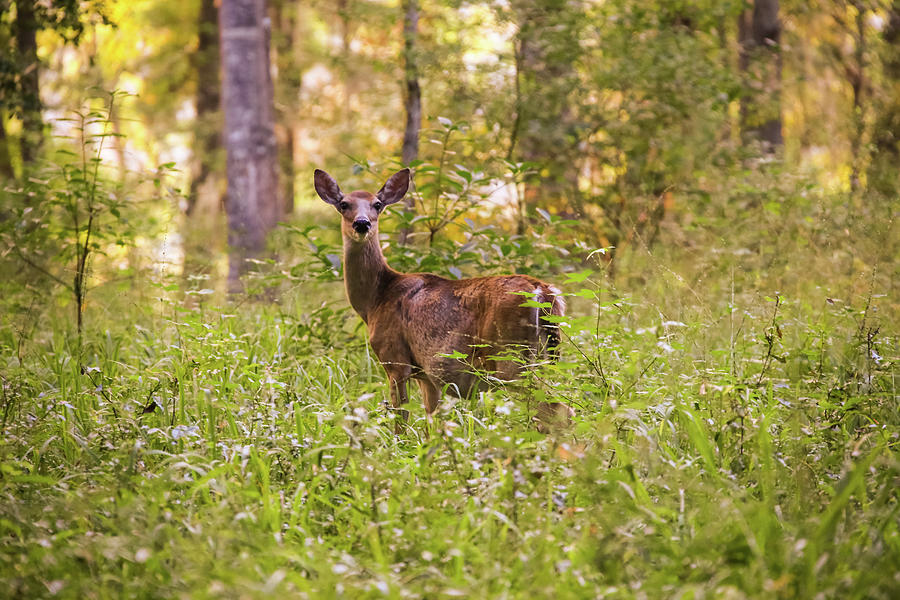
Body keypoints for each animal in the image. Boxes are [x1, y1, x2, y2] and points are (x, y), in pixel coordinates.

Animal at [314, 168, 573, 430]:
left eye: (377, 204)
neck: (376, 299)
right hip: (548, 356)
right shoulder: (427, 375)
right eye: (344, 204)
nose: (362, 223)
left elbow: (401, 422)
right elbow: (433, 423)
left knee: (559, 410)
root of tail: (544, 292)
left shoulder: (394, 358)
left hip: (512, 356)